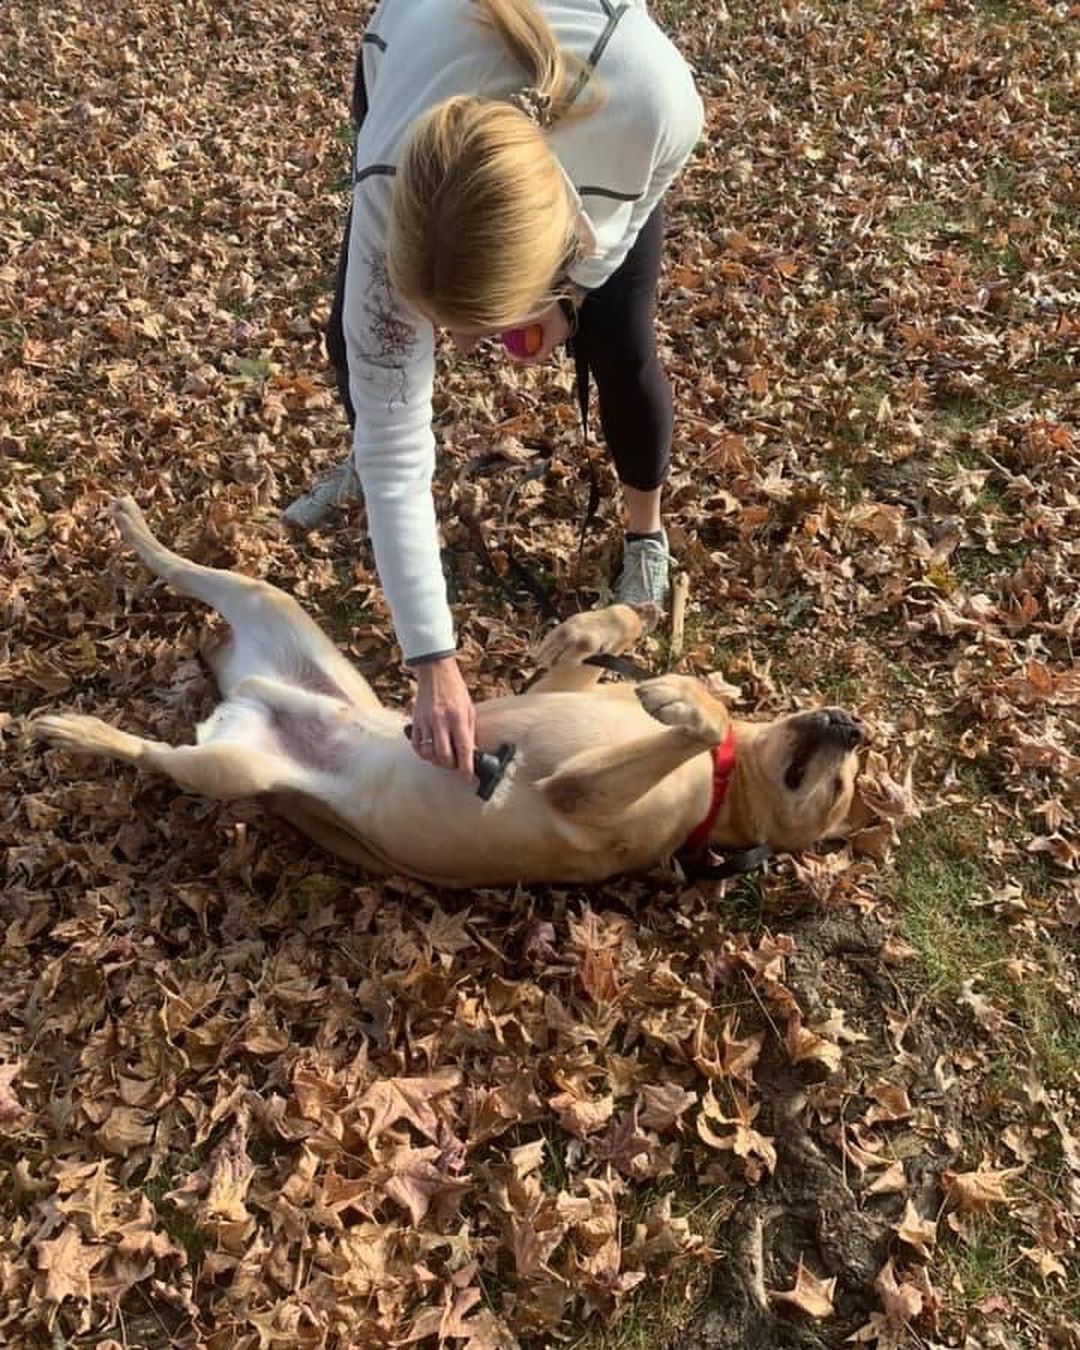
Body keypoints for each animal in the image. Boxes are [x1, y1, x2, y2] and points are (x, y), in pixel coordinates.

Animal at [29, 496, 864, 885]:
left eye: (839, 790)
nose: (853, 726)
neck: (728, 786)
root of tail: (248, 690)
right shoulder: (570, 694)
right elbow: (603, 645)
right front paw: (610, 624)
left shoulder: (577, 795)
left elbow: (700, 716)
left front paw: (687, 700)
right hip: (272, 603)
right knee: (185, 569)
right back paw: (138, 530)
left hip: (228, 769)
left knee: (155, 755)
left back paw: (73, 730)